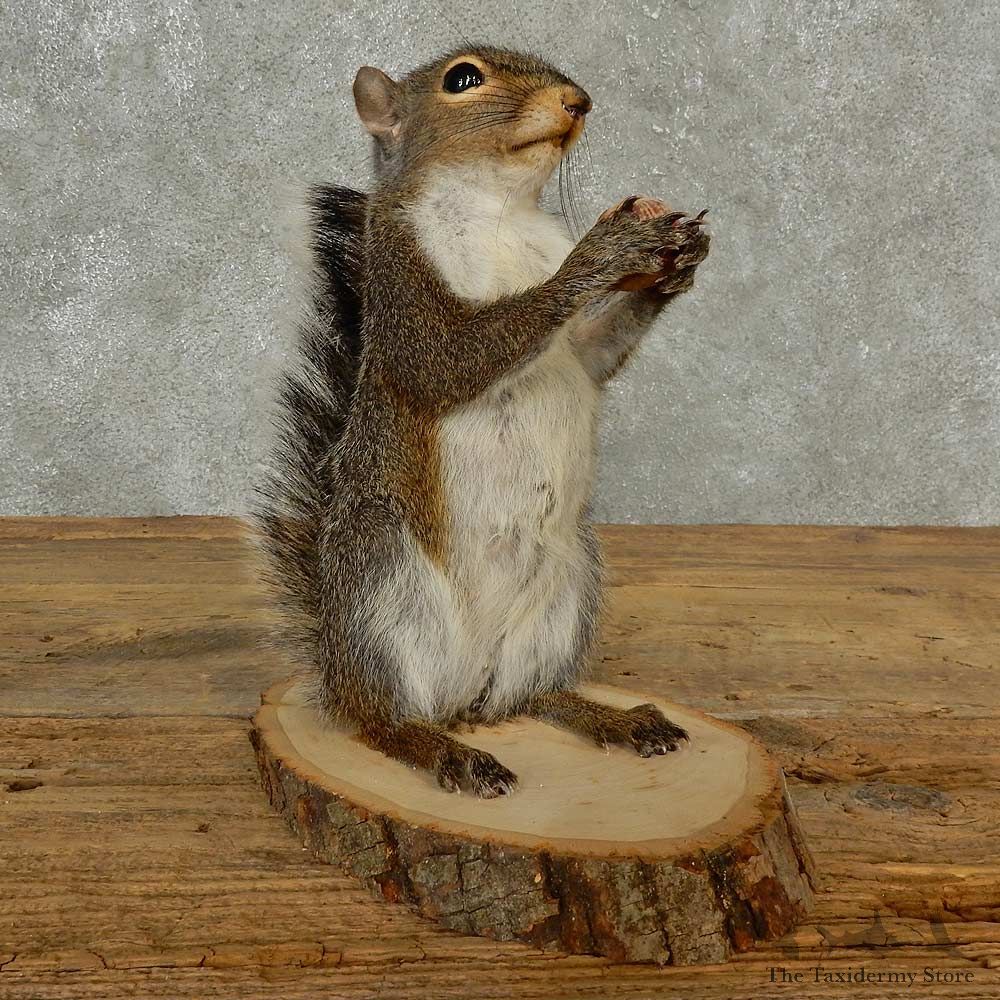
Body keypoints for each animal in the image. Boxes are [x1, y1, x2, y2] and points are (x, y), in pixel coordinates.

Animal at [256, 46, 711, 797]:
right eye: (463, 79)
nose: (578, 100)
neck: (500, 209)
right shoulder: (404, 290)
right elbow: (454, 357)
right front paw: (605, 248)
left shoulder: (579, 350)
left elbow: (593, 355)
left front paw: (677, 260)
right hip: (382, 587)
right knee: (382, 723)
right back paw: (445, 752)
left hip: (566, 588)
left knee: (530, 698)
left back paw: (610, 718)